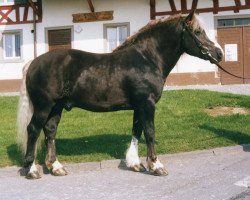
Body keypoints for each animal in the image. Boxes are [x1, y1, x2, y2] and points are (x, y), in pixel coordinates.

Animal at [16, 10, 223, 179]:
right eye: (198, 32)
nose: (219, 53)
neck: (147, 59)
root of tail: (33, 63)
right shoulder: (147, 104)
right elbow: (149, 132)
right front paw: (156, 165)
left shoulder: (139, 106)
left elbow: (137, 131)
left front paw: (135, 163)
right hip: (44, 106)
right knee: (33, 130)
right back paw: (32, 169)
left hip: (56, 107)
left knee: (50, 130)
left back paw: (56, 167)